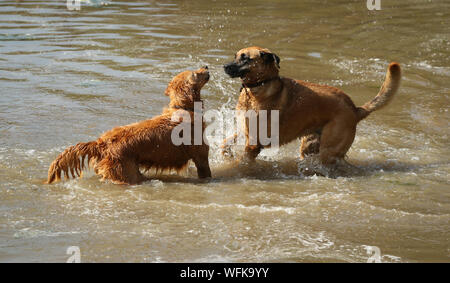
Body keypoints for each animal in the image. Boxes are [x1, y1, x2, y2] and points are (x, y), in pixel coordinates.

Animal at [221, 47, 400, 169]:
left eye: (245, 59)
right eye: (235, 56)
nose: (224, 66)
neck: (259, 87)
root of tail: (355, 109)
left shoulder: (254, 143)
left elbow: (241, 161)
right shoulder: (244, 131)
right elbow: (225, 143)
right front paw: (226, 155)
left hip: (329, 150)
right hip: (309, 145)